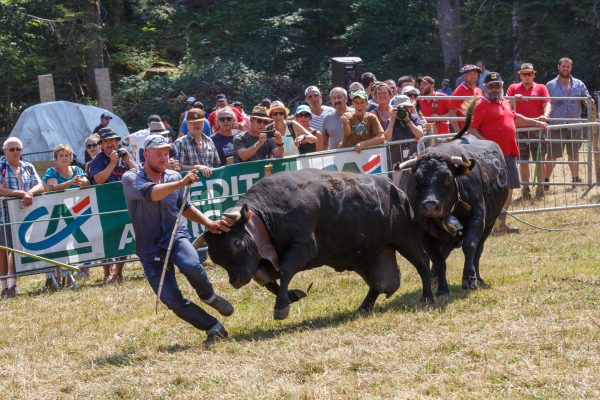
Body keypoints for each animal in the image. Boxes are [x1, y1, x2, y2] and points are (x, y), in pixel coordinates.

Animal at [200, 168, 432, 318]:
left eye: (236, 244)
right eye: (216, 257)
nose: (236, 281)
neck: (266, 216)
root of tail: (395, 189)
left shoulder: (304, 246)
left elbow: (285, 270)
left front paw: (281, 307)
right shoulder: (258, 262)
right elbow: (268, 281)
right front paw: (292, 296)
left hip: (405, 239)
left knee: (422, 263)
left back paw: (428, 296)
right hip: (369, 256)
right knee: (379, 283)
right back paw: (364, 307)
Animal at [394, 136, 510, 292]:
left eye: (448, 177)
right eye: (417, 179)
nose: (430, 206)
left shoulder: (478, 218)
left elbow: (470, 246)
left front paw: (469, 279)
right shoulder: (423, 232)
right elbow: (438, 259)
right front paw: (442, 288)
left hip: (490, 223)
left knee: (478, 250)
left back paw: (478, 277)